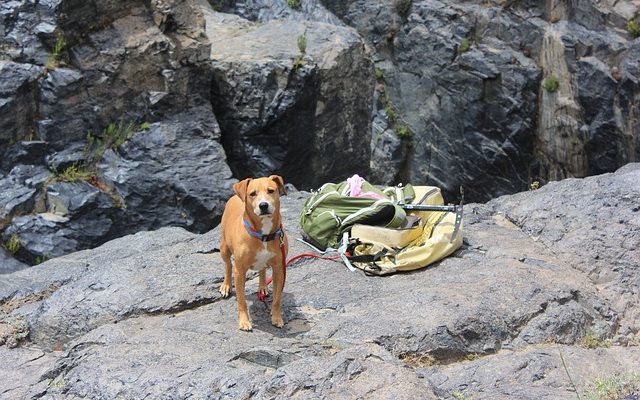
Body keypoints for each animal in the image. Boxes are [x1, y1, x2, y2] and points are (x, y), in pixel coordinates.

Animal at [220, 175, 290, 332]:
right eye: (252, 194)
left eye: (271, 190)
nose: (263, 205)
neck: (263, 235)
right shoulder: (240, 271)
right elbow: (241, 300)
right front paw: (244, 321)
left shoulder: (279, 268)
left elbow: (277, 298)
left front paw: (277, 317)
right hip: (224, 247)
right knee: (227, 265)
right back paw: (226, 285)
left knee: (262, 269)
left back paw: (262, 287)